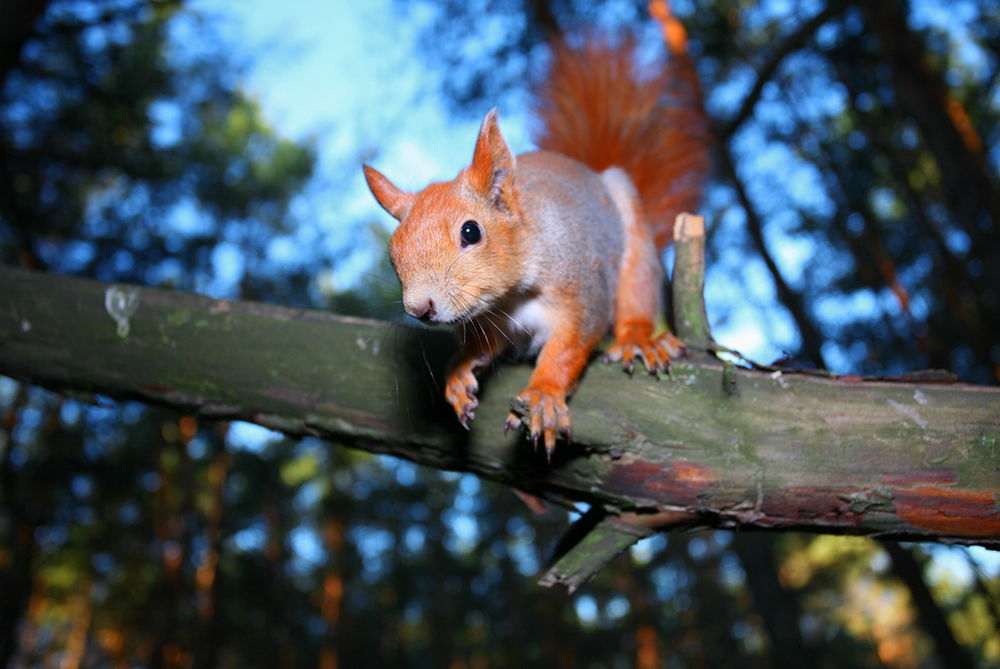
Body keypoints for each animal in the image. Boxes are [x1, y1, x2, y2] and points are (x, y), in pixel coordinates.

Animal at [364, 10, 708, 456]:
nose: (420, 308)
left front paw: (544, 394)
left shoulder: (582, 291)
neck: (511, 297)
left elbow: (568, 347)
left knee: (636, 296)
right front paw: (459, 373)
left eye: (471, 232)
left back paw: (638, 339)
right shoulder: (488, 321)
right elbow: (481, 348)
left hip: (633, 244)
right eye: (393, 255)